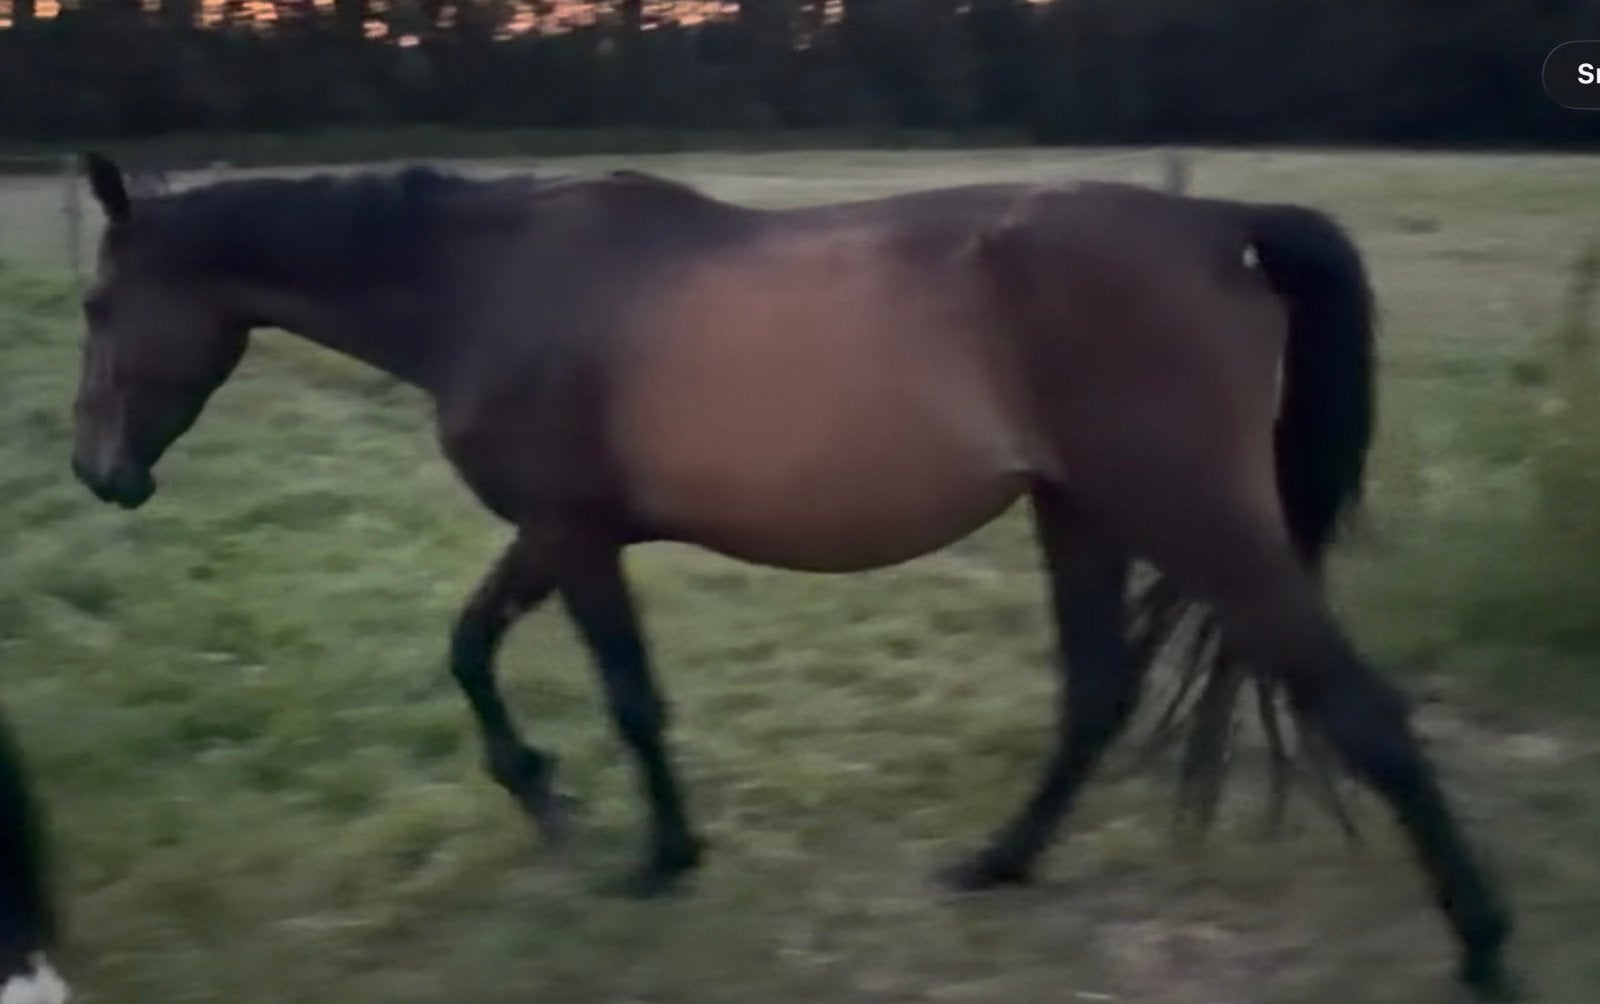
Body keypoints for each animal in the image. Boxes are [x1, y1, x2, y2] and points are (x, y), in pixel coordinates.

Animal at [66, 152, 1512, 997]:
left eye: (94, 306)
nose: (96, 473)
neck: (489, 280)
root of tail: (1216, 222)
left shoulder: (571, 533)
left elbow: (623, 693)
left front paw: (653, 853)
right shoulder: (557, 533)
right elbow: (470, 645)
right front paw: (544, 794)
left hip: (1192, 517)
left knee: (1358, 706)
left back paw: (1484, 944)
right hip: (1079, 514)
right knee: (1096, 695)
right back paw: (995, 863)